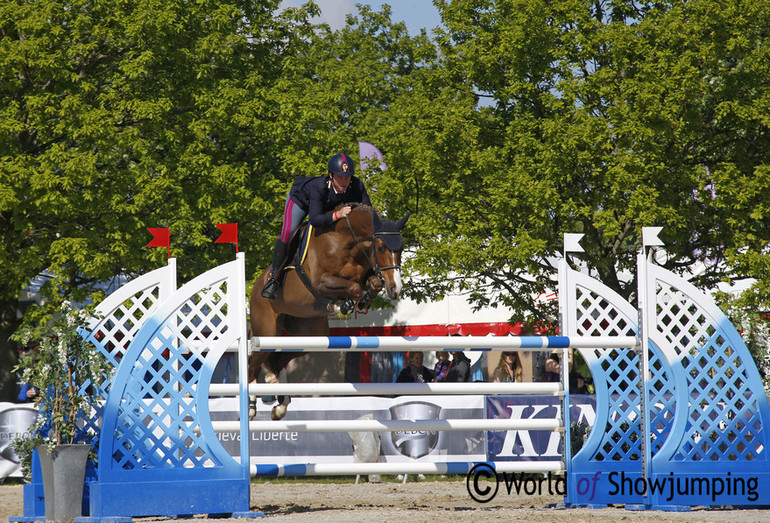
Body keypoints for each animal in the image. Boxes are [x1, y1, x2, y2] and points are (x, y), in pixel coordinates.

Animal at [249, 205, 412, 422]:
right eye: (380, 248)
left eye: (401, 249)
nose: (396, 290)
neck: (348, 243)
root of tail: (257, 285)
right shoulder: (320, 281)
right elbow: (353, 288)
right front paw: (341, 305)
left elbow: (371, 284)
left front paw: (359, 301)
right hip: (267, 331)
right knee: (254, 362)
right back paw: (251, 407)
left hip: (309, 333)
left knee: (278, 359)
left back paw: (280, 404)